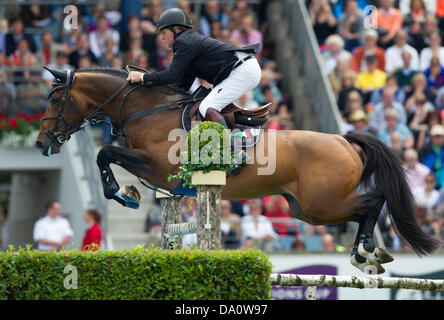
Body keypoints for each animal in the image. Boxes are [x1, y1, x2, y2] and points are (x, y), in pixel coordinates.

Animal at [35, 67, 440, 276]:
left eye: (55, 100)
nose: (41, 144)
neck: (144, 109)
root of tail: (343, 140)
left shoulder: (159, 166)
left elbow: (105, 153)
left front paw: (122, 193)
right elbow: (108, 155)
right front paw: (129, 192)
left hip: (321, 203)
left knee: (373, 201)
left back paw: (368, 251)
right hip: (307, 210)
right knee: (363, 208)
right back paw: (364, 254)